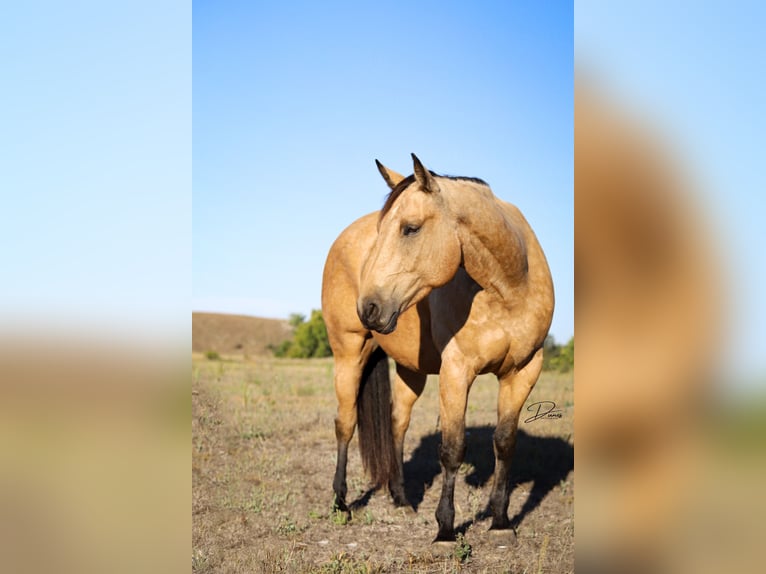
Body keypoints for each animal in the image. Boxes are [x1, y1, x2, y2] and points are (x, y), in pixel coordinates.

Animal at [320, 154, 556, 544]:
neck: (508, 287)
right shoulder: (457, 371)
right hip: (349, 353)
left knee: (397, 424)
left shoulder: (523, 371)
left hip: (409, 370)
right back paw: (340, 504)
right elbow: (452, 448)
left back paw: (401, 498)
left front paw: (501, 521)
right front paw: (445, 529)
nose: (368, 308)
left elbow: (505, 442)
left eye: (410, 228)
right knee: (345, 423)